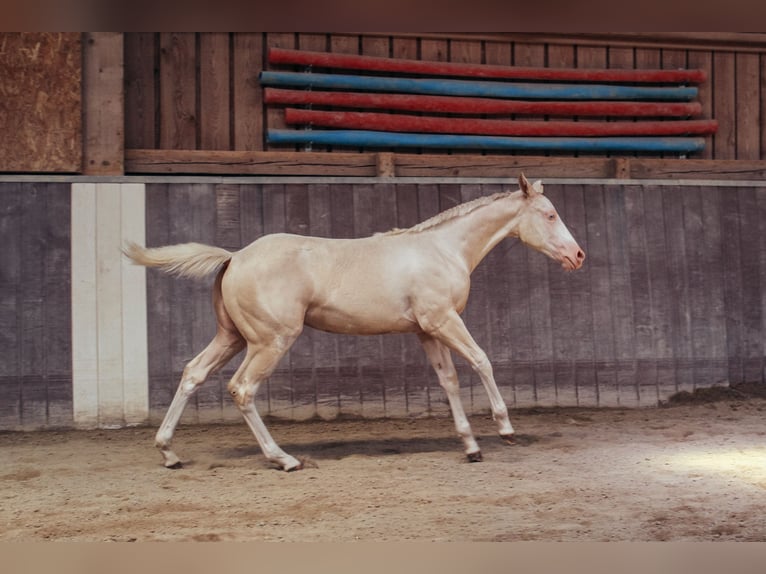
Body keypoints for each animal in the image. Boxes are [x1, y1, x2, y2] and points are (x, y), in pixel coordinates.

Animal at [124, 174, 585, 471]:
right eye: (549, 214)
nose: (577, 255)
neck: (443, 249)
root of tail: (234, 256)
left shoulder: (427, 330)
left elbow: (449, 381)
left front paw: (470, 446)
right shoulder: (444, 320)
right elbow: (482, 361)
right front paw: (505, 428)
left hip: (233, 337)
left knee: (193, 373)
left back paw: (169, 453)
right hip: (270, 341)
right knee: (242, 389)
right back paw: (283, 459)